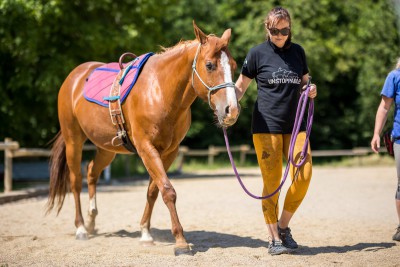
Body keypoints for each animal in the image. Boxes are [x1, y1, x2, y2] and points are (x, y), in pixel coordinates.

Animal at [45, 22, 239, 256]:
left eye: (234, 66)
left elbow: (153, 191)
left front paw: (145, 233)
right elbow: (168, 190)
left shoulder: (169, 152)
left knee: (91, 172)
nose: (231, 110)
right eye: (210, 65)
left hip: (107, 149)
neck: (161, 92)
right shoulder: (146, 148)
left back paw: (91, 222)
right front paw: (180, 241)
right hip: (73, 140)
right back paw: (81, 228)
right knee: (75, 181)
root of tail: (75, 76)